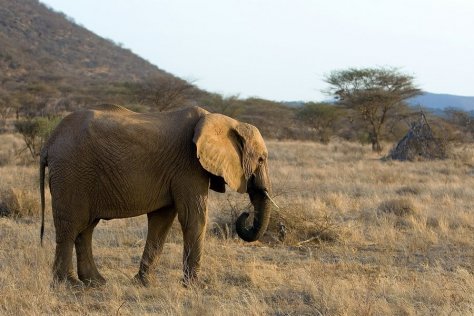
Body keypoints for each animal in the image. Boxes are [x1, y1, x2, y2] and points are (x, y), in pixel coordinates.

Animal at [40, 105, 274, 288]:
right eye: (261, 160)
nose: (244, 214)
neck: (223, 120)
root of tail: (49, 141)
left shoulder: (175, 172)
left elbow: (161, 222)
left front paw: (144, 283)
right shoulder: (189, 166)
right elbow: (194, 217)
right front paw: (196, 286)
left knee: (86, 228)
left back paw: (96, 283)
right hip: (71, 173)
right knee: (71, 226)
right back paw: (69, 285)